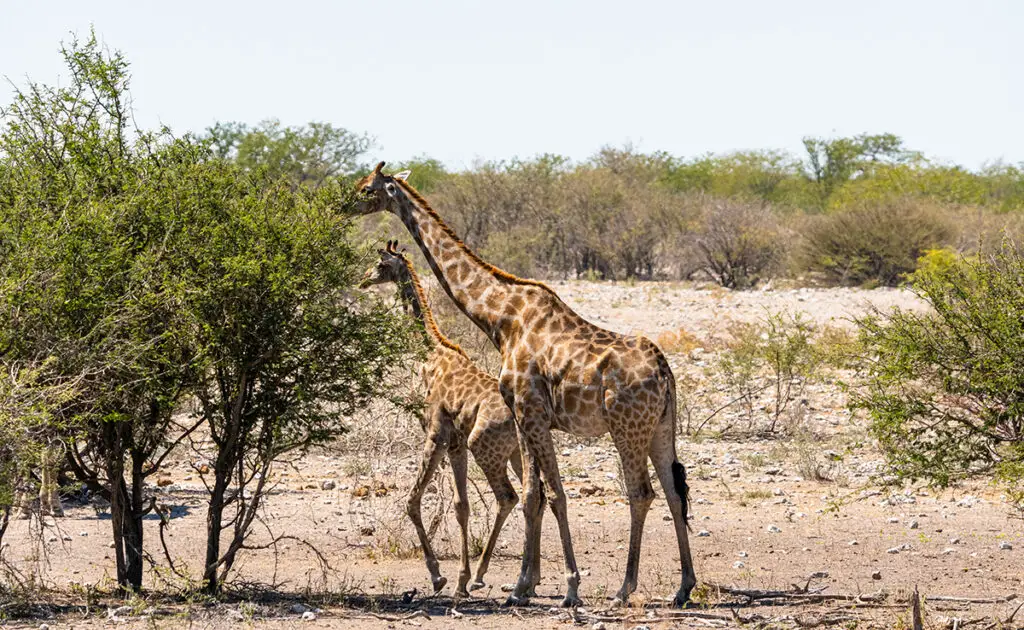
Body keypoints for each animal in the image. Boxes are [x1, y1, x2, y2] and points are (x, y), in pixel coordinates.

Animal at [360, 240, 540, 597]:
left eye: (380, 264)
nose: (362, 280)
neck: (429, 354)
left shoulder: (436, 435)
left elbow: (413, 500)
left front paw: (442, 577)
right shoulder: (456, 443)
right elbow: (461, 506)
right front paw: (459, 577)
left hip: (485, 447)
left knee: (508, 497)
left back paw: (487, 575)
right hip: (516, 453)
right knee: (535, 496)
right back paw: (528, 581)